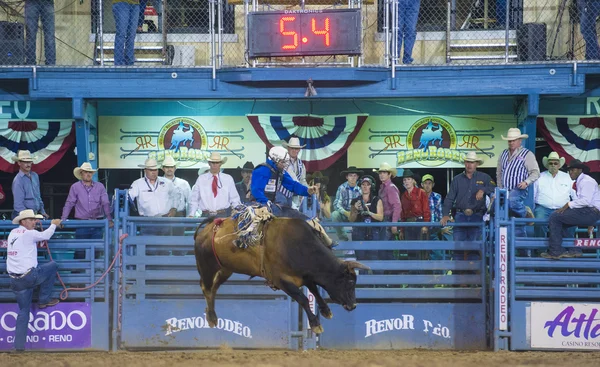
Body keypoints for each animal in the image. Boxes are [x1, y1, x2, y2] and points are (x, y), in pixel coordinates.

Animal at [195, 217, 368, 334]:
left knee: (214, 288)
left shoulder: (304, 276)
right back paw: (211, 318)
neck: (296, 245)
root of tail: (208, 229)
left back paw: (211, 315)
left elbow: (314, 290)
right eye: (350, 282)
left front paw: (326, 310)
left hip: (225, 269)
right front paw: (315, 324)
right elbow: (303, 299)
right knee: (206, 288)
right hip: (207, 267)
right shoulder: (282, 281)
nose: (353, 305)